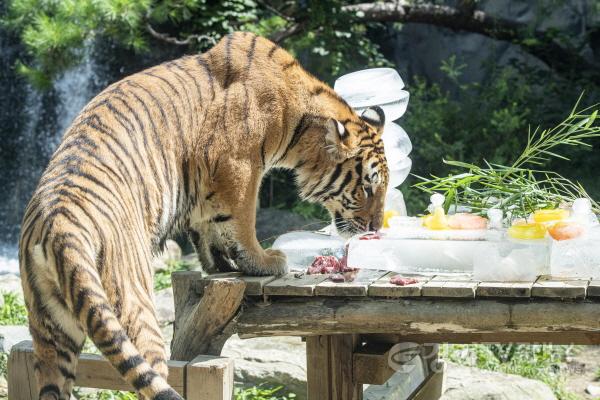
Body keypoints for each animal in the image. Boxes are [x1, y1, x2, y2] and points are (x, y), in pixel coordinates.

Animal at [18, 32, 390, 400]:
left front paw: (221, 266)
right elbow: (243, 221)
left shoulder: (205, 185)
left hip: (52, 332)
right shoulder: (238, 165)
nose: (374, 227)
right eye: (367, 188)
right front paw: (262, 261)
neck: (299, 118)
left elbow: (209, 226)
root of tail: (58, 224)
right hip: (132, 303)